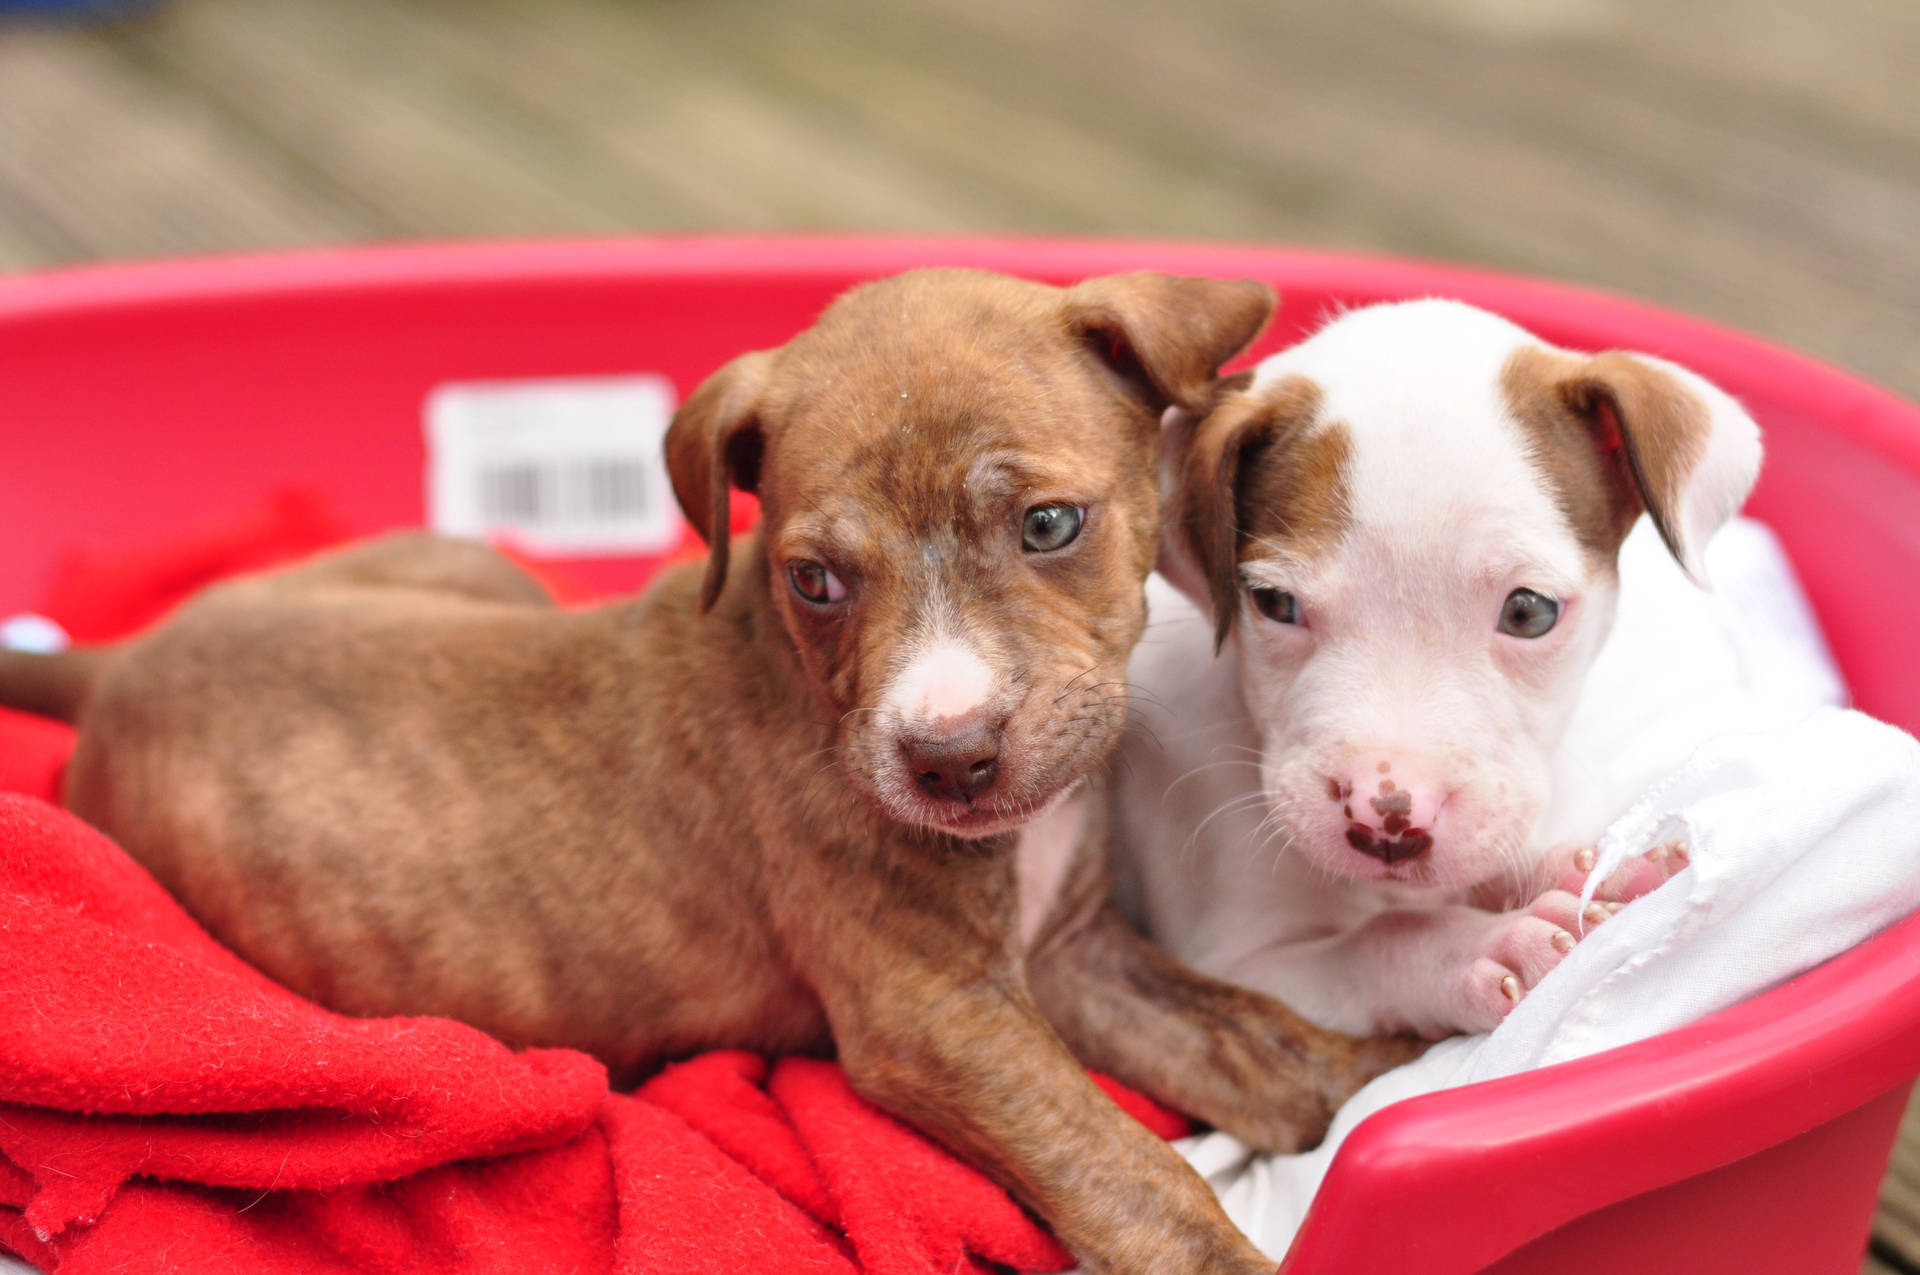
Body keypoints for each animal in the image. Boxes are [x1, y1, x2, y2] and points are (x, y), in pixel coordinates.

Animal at [0, 266, 1413, 1267]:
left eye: (1051, 525)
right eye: (816, 579)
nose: (948, 760)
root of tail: (118, 666)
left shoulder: (1072, 962)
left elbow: (1272, 1047)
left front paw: (1402, 1072)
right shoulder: (939, 1016)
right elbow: (1129, 1167)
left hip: (476, 572)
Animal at [1121, 303, 1758, 1044]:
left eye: (1528, 611)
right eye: (1275, 603)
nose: (1389, 817)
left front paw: (1580, 873)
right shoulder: (1238, 965)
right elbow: (1385, 937)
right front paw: (1488, 945)